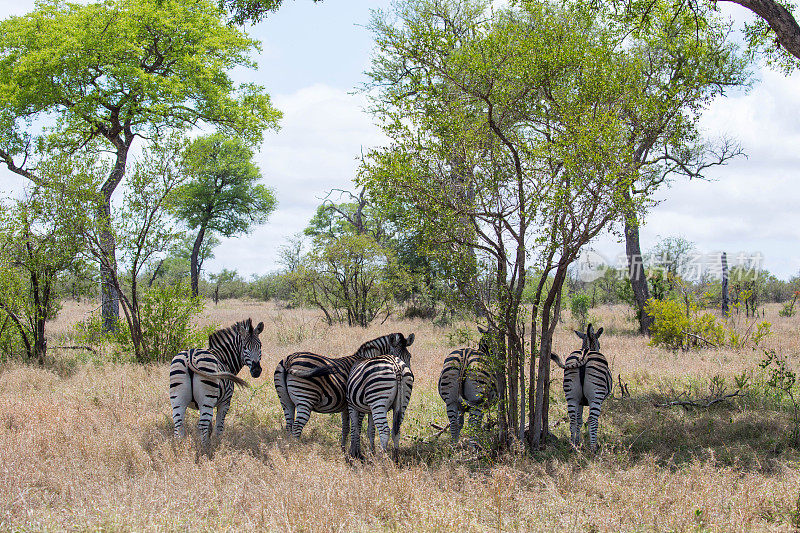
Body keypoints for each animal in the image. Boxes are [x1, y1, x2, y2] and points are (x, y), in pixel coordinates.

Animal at [170, 318, 266, 446]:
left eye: (260, 346)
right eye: (245, 347)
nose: (256, 371)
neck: (224, 359)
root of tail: (190, 355)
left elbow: (210, 427)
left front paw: (210, 440)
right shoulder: (225, 402)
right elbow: (219, 427)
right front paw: (218, 443)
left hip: (178, 398)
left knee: (179, 425)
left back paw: (181, 448)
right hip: (207, 399)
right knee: (202, 425)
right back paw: (205, 449)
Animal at [274, 330, 416, 446]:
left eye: (409, 356)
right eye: (395, 355)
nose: (410, 376)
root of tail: (289, 360)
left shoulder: (345, 407)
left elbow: (346, 428)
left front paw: (344, 448)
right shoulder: (358, 404)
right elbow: (358, 427)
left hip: (285, 401)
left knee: (289, 425)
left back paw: (289, 447)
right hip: (305, 398)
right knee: (297, 427)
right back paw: (296, 449)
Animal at [552, 322, 612, 450]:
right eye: (600, 344)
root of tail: (585, 355)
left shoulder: (580, 401)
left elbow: (579, 421)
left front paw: (578, 441)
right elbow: (588, 421)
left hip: (571, 395)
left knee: (573, 420)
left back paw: (572, 445)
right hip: (596, 396)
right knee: (593, 420)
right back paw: (593, 448)